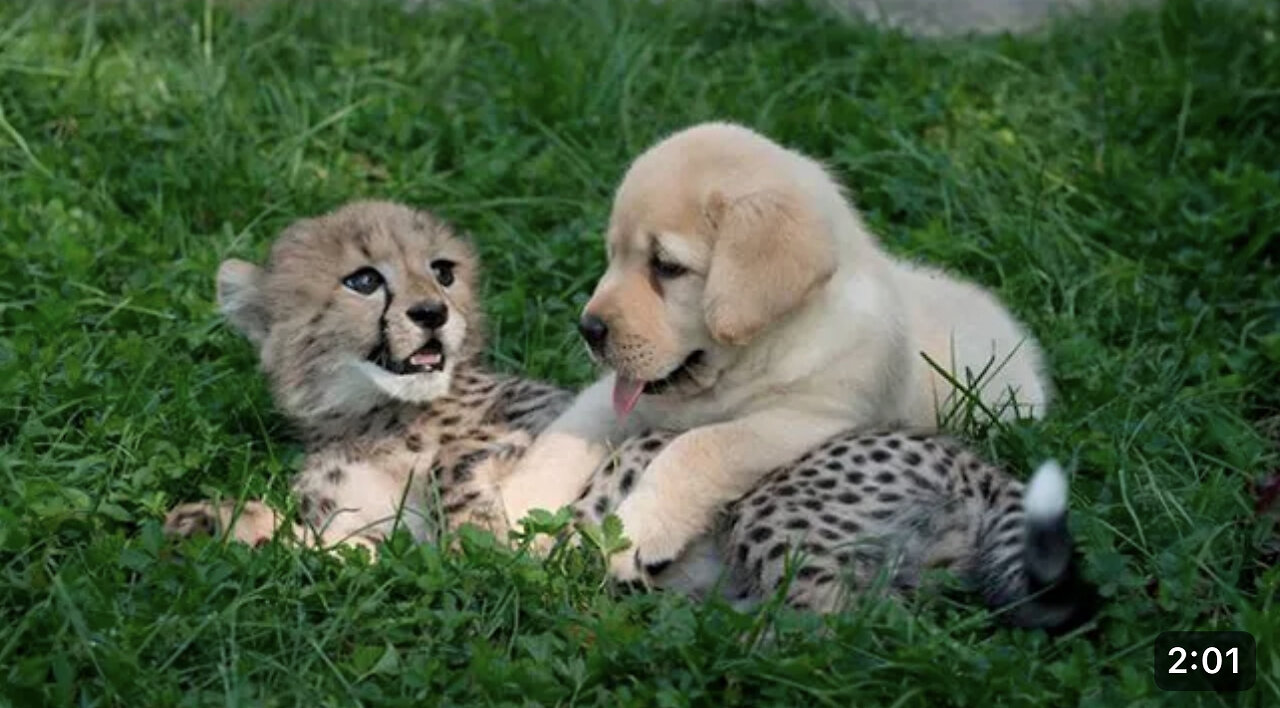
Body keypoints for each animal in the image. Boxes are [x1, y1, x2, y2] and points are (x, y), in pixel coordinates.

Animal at [499, 122, 1049, 578]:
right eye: (613, 255)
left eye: (666, 266)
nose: (587, 328)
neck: (751, 358)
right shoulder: (625, 396)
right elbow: (567, 434)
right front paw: (515, 506)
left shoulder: (808, 420)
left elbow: (700, 446)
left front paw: (638, 530)